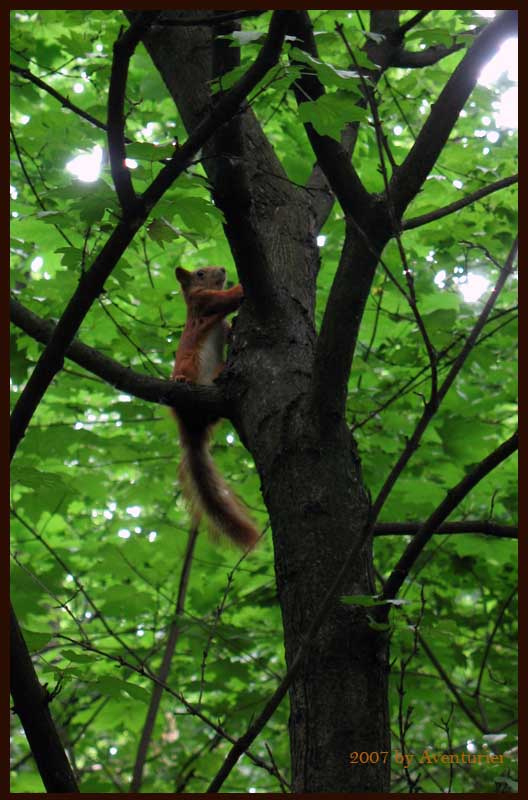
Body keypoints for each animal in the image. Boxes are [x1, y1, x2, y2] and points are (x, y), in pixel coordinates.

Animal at [171, 265, 259, 551]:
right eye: (199, 273)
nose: (222, 269)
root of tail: (189, 425)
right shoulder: (203, 302)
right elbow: (224, 300)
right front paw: (239, 286)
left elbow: (228, 327)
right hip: (189, 363)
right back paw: (181, 380)